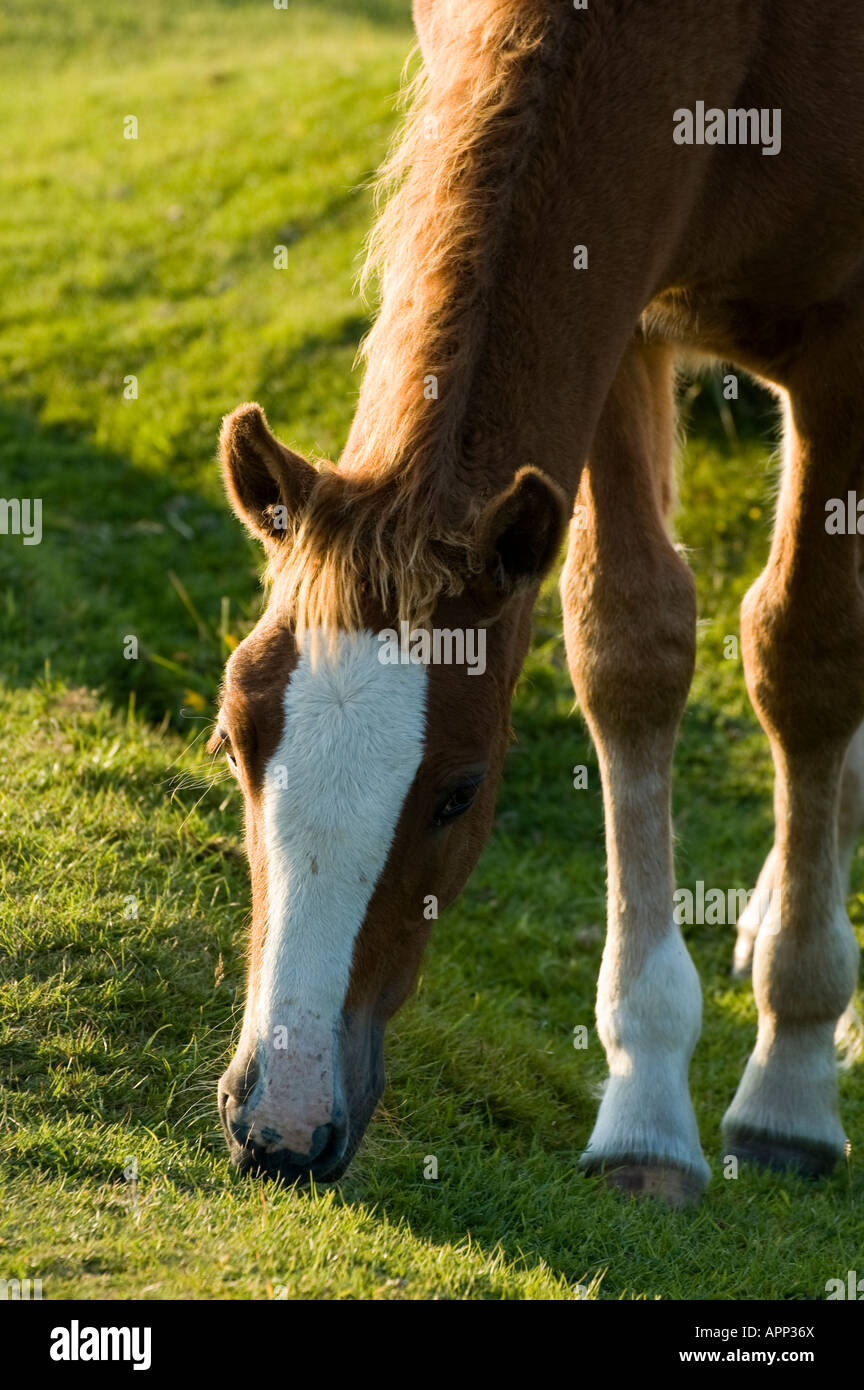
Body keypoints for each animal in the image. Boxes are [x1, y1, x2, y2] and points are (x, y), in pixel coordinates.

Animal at [211, 0, 864, 1206]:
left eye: (460, 792)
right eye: (236, 742)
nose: (280, 1123)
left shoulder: (846, 341)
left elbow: (806, 653)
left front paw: (791, 1077)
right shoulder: (618, 317)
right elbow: (629, 644)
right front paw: (647, 1104)